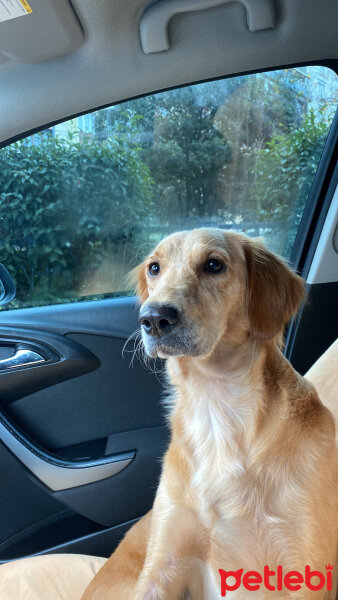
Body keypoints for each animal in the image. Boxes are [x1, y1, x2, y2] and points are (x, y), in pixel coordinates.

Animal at [82, 227, 338, 596]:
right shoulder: (164, 560)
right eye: (154, 268)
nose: (154, 318)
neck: (216, 410)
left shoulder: (306, 573)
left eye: (214, 264)